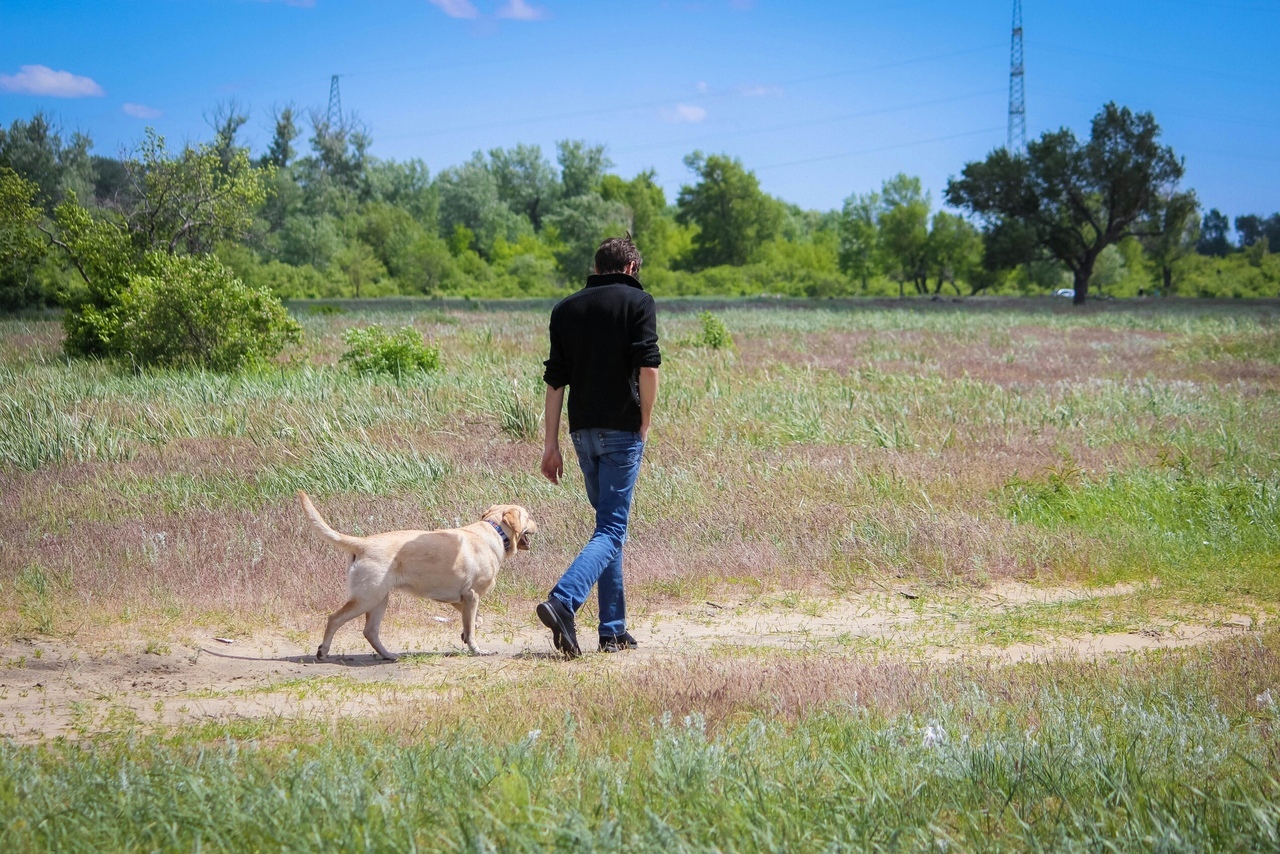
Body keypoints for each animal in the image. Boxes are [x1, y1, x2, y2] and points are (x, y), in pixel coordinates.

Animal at [299, 494, 535, 660]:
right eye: (528, 516)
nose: (537, 523)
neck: (495, 531)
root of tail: (362, 542)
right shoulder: (472, 595)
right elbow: (472, 628)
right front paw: (476, 649)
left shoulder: (459, 599)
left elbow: (475, 622)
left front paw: (466, 634)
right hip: (366, 598)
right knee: (334, 619)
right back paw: (323, 651)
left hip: (379, 600)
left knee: (370, 631)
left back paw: (388, 655)